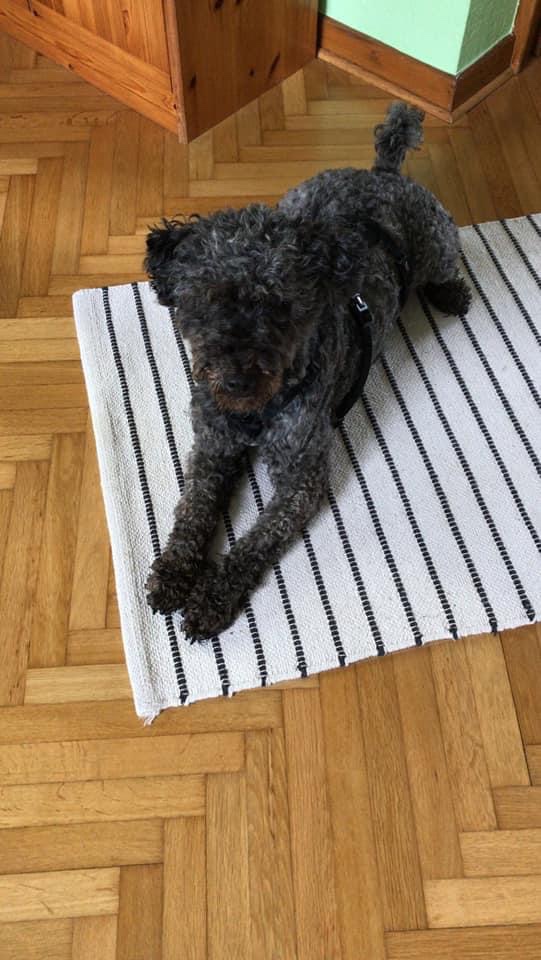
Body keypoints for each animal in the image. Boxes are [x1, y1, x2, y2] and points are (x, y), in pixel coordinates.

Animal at [145, 101, 471, 641]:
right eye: (207, 299)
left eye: (280, 306)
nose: (235, 381)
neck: (256, 413)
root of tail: (381, 174)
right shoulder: (212, 448)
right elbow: (193, 511)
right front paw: (172, 572)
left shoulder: (302, 476)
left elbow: (254, 541)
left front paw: (213, 594)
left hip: (440, 241)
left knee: (448, 267)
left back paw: (451, 293)